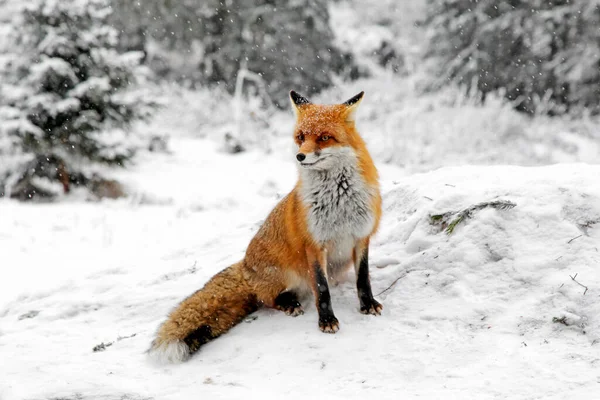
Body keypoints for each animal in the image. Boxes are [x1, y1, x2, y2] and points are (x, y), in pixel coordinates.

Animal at [150, 90, 384, 362]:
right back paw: (288, 304)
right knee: (268, 298)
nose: (300, 156)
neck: (338, 199)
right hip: (285, 274)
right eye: (300, 137)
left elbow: (363, 279)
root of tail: (245, 266)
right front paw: (326, 320)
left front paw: (368, 305)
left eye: (324, 138)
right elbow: (322, 288)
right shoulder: (314, 244)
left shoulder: (361, 236)